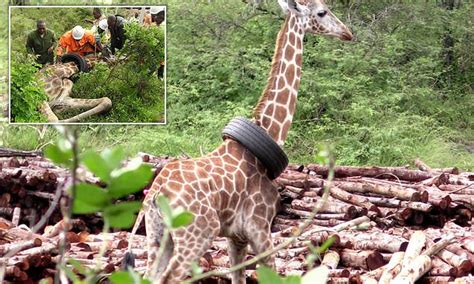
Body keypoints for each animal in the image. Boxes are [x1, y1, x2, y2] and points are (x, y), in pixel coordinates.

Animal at [126, 1, 352, 282]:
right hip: (197, 234)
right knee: (171, 276)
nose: (347, 33)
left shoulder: (236, 237)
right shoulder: (260, 227)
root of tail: (157, 192)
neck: (269, 133)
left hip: (157, 234)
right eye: (322, 11)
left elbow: (237, 276)